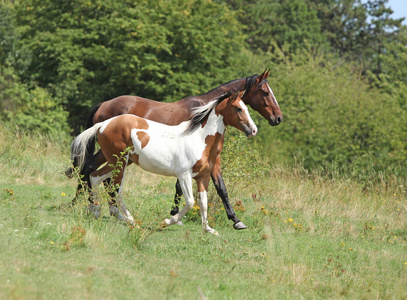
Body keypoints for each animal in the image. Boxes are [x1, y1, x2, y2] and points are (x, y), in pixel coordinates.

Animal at [67, 70, 284, 230]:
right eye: (265, 92)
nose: (278, 118)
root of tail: (102, 106)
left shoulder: (211, 162)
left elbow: (219, 187)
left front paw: (235, 220)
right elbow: (189, 189)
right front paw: (174, 216)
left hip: (117, 158)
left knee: (95, 174)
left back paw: (96, 209)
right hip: (116, 157)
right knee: (94, 172)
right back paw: (96, 209)